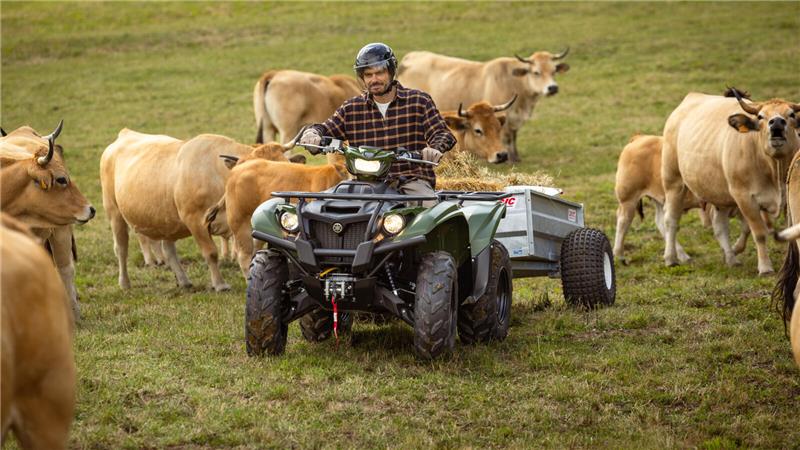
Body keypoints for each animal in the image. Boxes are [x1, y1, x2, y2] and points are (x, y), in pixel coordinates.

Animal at [100, 130, 296, 291]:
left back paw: (183, 280)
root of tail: (125, 134)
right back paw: (124, 283)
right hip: (114, 212)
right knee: (121, 248)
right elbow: (211, 253)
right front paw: (220, 284)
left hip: (165, 218)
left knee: (168, 249)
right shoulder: (194, 220)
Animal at [397, 48, 569, 162]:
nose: (553, 88)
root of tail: (409, 58)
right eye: (536, 72)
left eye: (554, 71)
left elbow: (513, 137)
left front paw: (516, 156)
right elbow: (508, 137)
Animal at [613, 134, 750, 264]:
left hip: (661, 200)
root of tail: (640, 138)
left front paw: (734, 250)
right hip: (628, 198)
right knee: (623, 221)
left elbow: (746, 228)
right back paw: (620, 255)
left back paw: (682, 256)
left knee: (662, 222)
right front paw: (733, 252)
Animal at [662, 90, 800, 274]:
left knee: (720, 226)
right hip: (673, 182)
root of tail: (692, 96)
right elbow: (759, 233)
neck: (773, 168)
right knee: (671, 219)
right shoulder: (744, 197)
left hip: (719, 194)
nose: (776, 122)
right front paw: (765, 267)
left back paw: (731, 258)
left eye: (791, 114)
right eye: (761, 116)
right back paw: (670, 258)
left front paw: (736, 250)